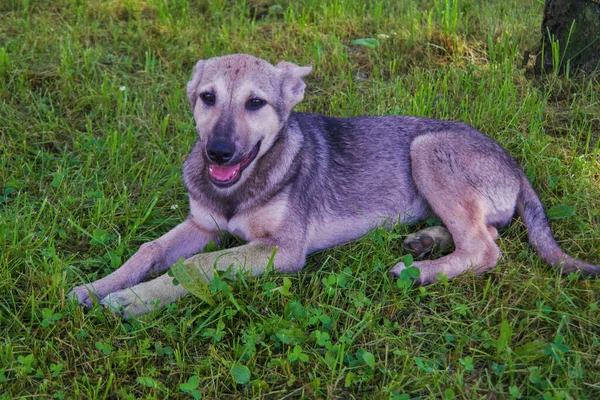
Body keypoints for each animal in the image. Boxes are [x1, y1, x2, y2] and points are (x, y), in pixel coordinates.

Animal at [69, 54, 596, 318]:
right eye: (207, 98)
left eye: (256, 103)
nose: (217, 153)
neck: (243, 186)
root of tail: (516, 166)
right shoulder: (202, 225)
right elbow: (151, 250)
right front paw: (98, 287)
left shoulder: (281, 250)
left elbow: (196, 267)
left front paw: (132, 302)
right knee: (480, 232)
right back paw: (424, 242)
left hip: (426, 149)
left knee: (486, 249)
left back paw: (416, 273)